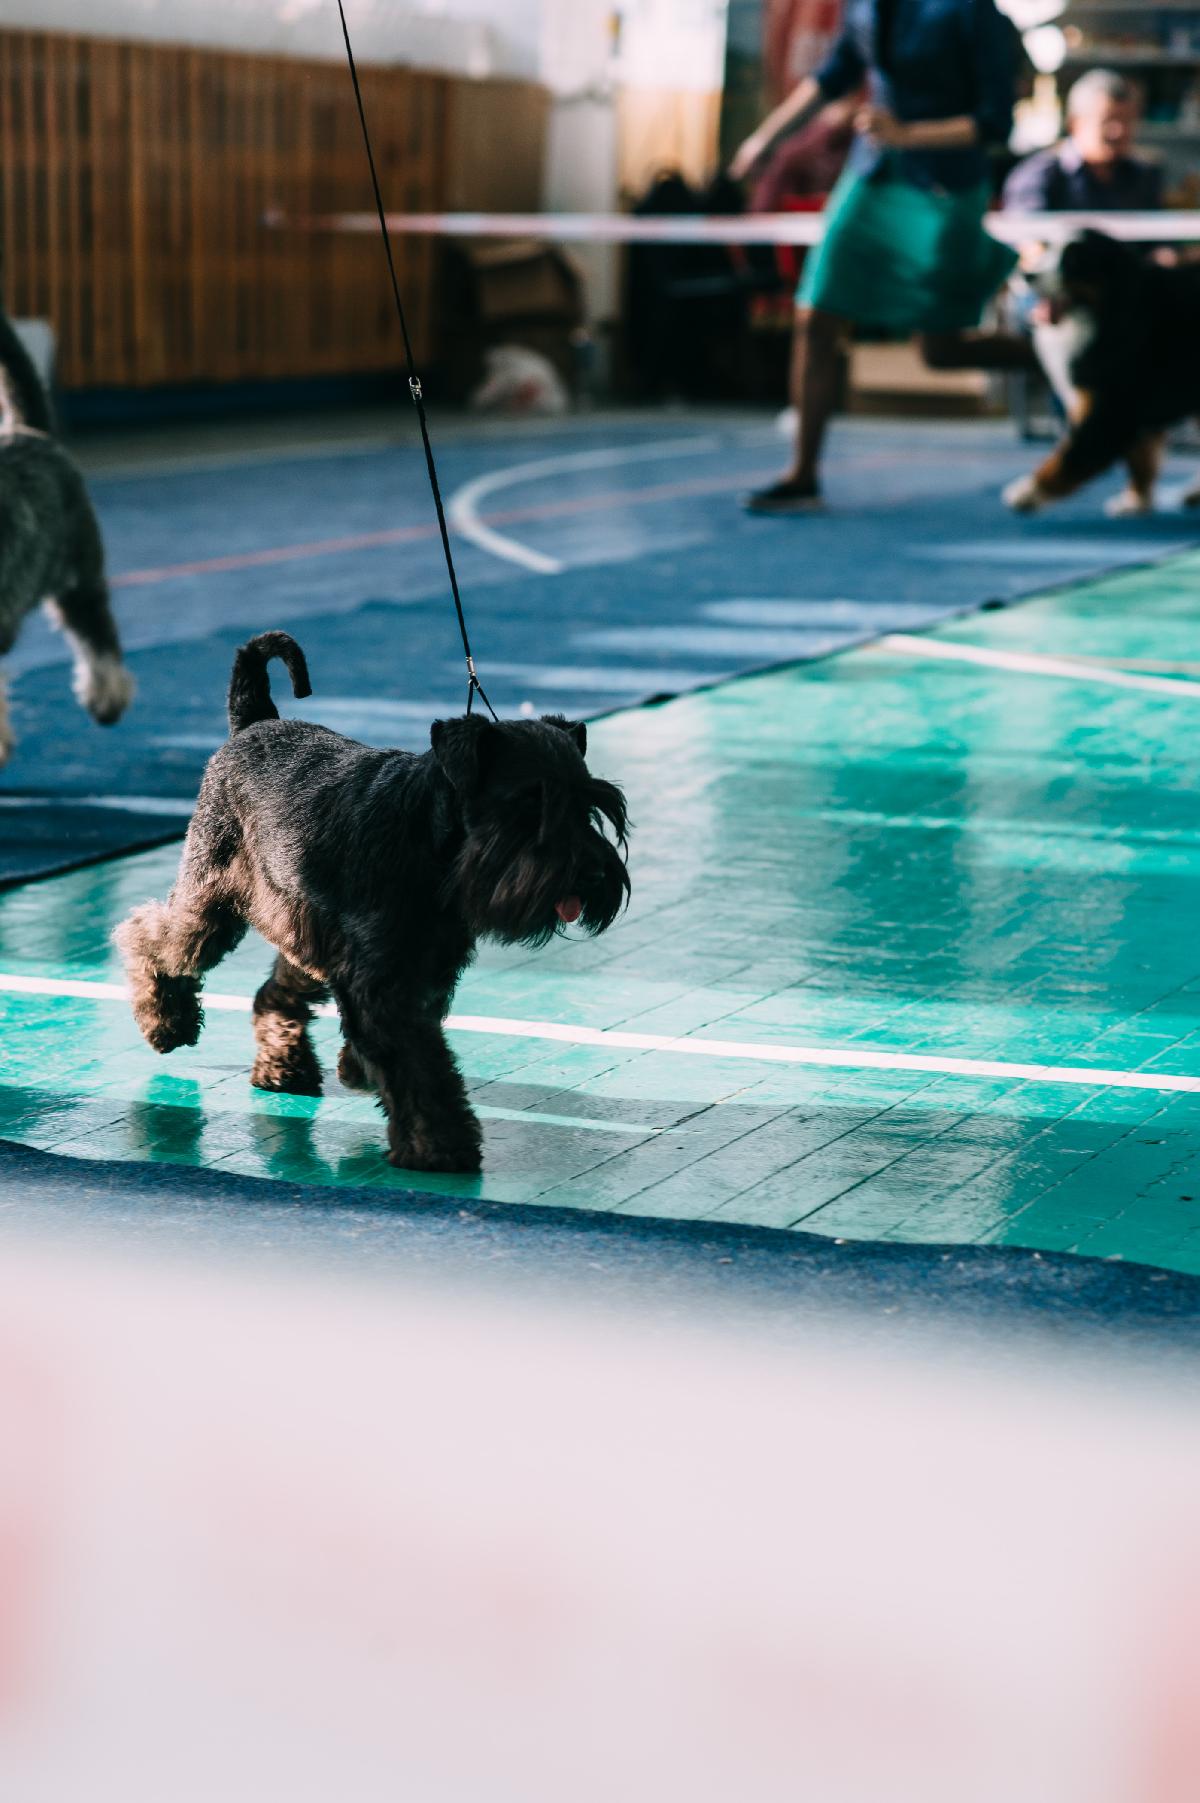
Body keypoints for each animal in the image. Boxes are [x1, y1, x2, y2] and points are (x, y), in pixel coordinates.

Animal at [115, 633, 631, 1174]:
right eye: (529, 802)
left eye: (590, 804)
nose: (594, 875)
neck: (431, 839)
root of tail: (253, 722)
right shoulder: (383, 980)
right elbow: (421, 1067)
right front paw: (440, 1144)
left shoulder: (419, 969)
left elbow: (409, 1052)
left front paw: (364, 1072)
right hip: (211, 905)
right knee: (150, 936)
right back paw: (165, 1023)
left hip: (304, 933)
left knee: (274, 991)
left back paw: (283, 1067)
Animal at [1003, 229, 1200, 518]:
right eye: (1047, 249)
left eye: (1073, 261)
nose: (1027, 274)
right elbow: (1140, 458)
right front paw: (1136, 500)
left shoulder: (1111, 408)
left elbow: (1070, 456)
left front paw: (1029, 491)